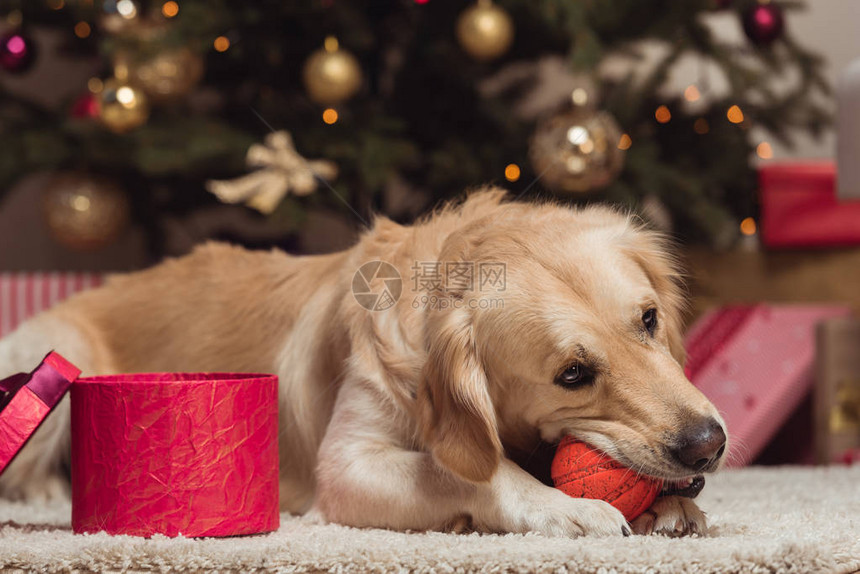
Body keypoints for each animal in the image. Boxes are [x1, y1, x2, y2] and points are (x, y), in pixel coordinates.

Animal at [0, 190, 724, 540]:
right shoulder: (347, 464)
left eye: (649, 320)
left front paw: (667, 508)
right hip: (53, 345)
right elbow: (471, 471)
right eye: (572, 374)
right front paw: (562, 508)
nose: (710, 444)